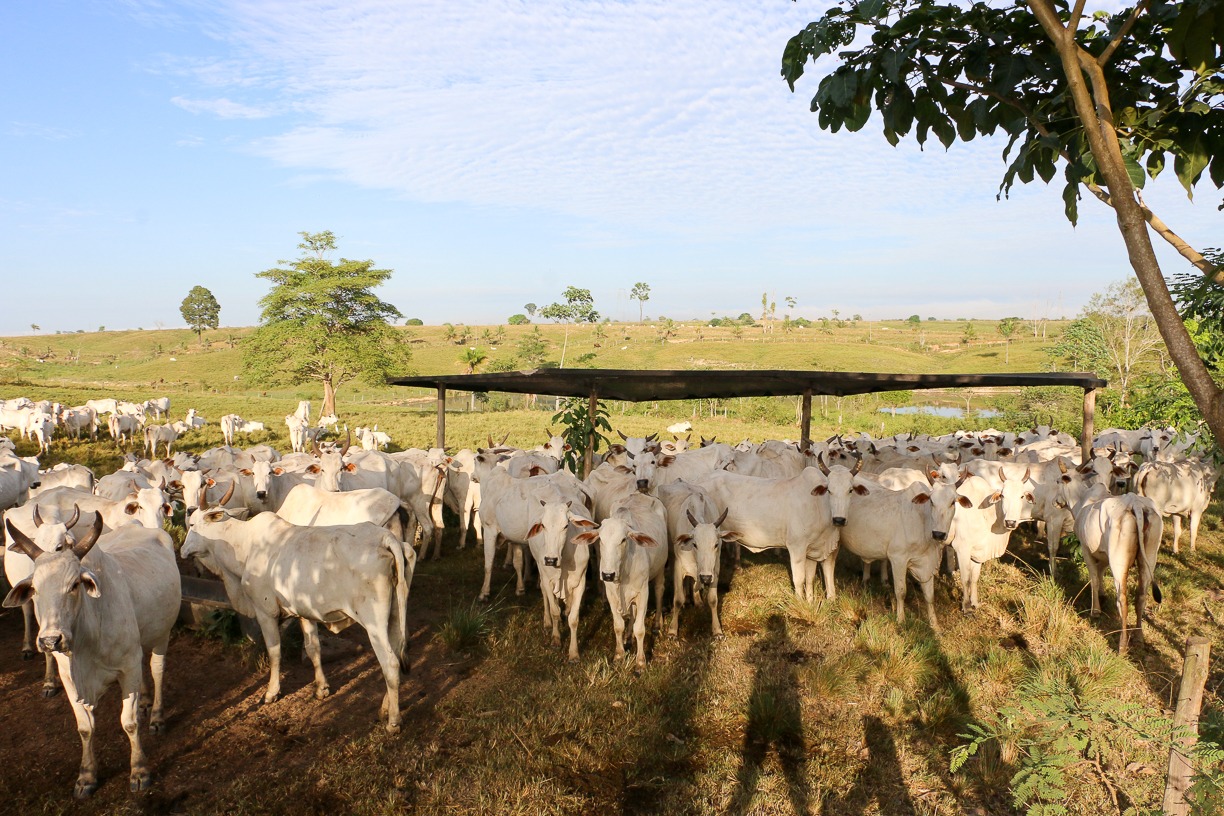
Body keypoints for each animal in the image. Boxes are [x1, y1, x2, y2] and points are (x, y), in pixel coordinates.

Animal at [4, 515, 180, 797]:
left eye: (74, 585)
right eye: (35, 589)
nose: (50, 640)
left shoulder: (127, 667)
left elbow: (129, 723)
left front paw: (140, 771)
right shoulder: (69, 678)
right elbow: (85, 727)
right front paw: (86, 776)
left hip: (162, 633)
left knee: (157, 669)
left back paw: (156, 715)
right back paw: (145, 702)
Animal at [181, 508, 412, 733]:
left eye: (191, 524)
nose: (182, 551)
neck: (244, 546)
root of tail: (385, 538)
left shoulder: (265, 612)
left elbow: (274, 652)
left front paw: (271, 692)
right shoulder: (304, 613)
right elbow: (313, 648)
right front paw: (321, 688)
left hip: (374, 622)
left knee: (390, 663)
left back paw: (393, 721)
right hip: (394, 615)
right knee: (396, 655)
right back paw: (385, 708)